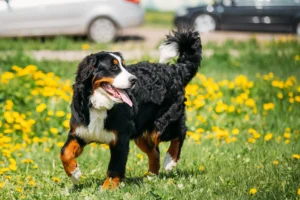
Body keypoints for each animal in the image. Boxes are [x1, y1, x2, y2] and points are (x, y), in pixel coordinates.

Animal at [60, 28, 203, 189]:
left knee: (181, 132)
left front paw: (107, 188)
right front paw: (74, 174)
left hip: (162, 125)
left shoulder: (120, 139)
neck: (100, 105)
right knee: (155, 152)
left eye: (124, 66)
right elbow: (64, 152)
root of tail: (174, 70)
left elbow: (115, 167)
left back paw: (170, 160)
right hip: (141, 132)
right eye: (113, 67)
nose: (134, 80)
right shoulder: (79, 133)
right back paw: (150, 177)